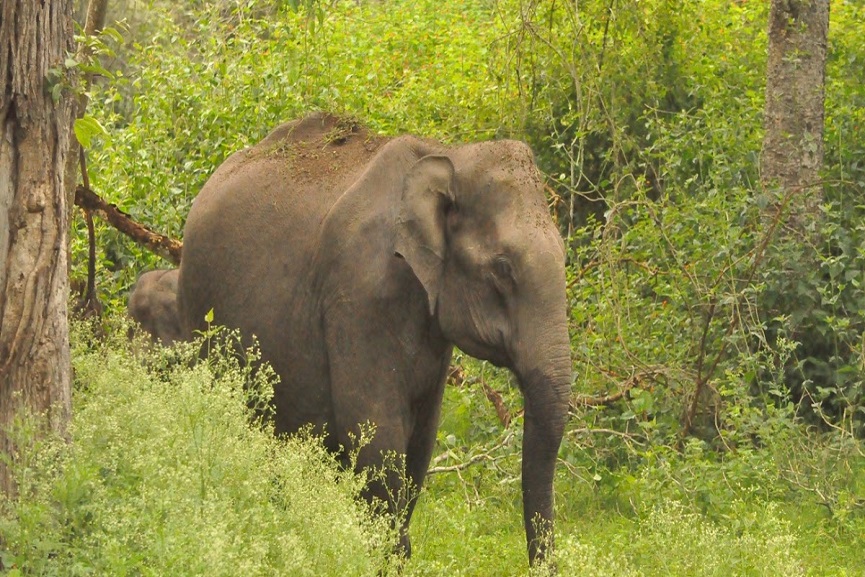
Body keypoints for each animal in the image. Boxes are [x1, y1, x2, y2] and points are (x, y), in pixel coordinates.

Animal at [177, 112, 572, 566]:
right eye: (503, 269)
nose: (542, 565)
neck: (451, 155)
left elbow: (420, 442)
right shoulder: (358, 293)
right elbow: (375, 433)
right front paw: (390, 557)